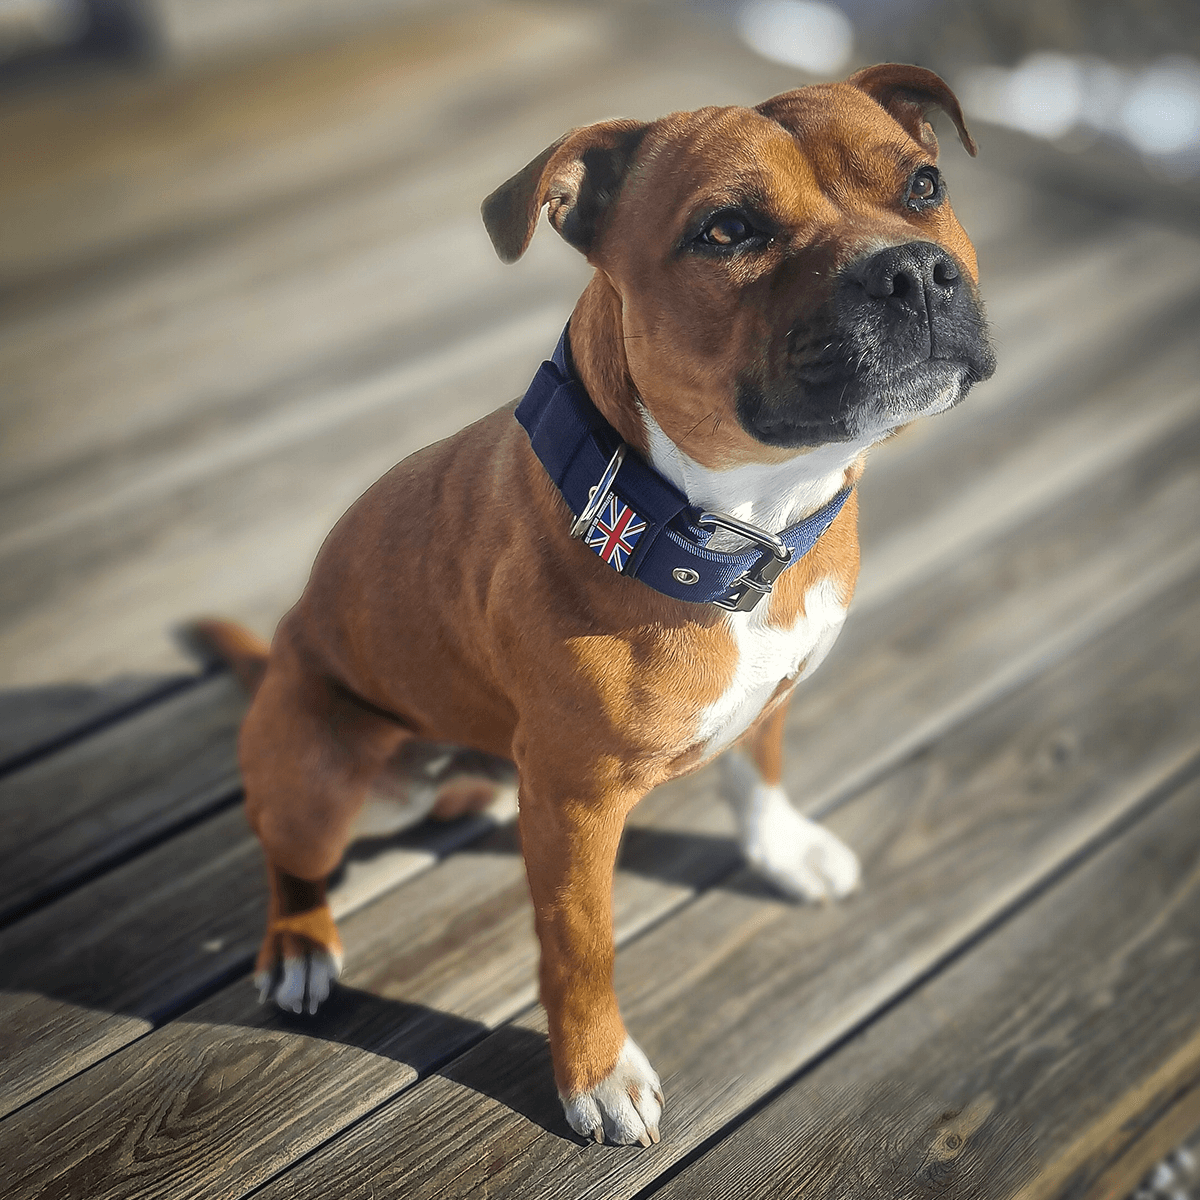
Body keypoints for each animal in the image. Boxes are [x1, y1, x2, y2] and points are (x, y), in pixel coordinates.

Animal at [194, 63, 993, 1142]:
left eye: (922, 186)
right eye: (727, 230)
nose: (911, 271)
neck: (734, 524)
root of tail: (278, 655)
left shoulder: (774, 689)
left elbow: (759, 772)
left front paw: (782, 851)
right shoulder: (576, 808)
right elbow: (581, 946)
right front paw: (598, 1073)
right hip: (325, 768)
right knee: (293, 859)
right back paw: (301, 947)